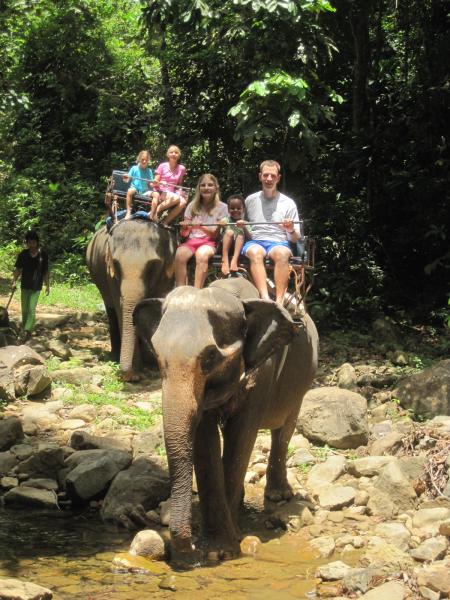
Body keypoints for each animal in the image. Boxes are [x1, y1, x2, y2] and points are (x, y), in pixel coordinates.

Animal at [86, 219, 176, 380]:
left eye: (153, 265)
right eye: (116, 264)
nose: (128, 375)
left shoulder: (167, 274)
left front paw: (154, 366)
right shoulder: (110, 276)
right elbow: (120, 307)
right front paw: (136, 374)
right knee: (111, 310)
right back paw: (114, 356)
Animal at [132, 278, 318, 568]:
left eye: (210, 357)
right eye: (158, 356)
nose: (189, 556)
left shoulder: (262, 376)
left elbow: (240, 437)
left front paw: (222, 551)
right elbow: (204, 438)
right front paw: (212, 551)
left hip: (302, 382)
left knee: (284, 430)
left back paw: (278, 497)